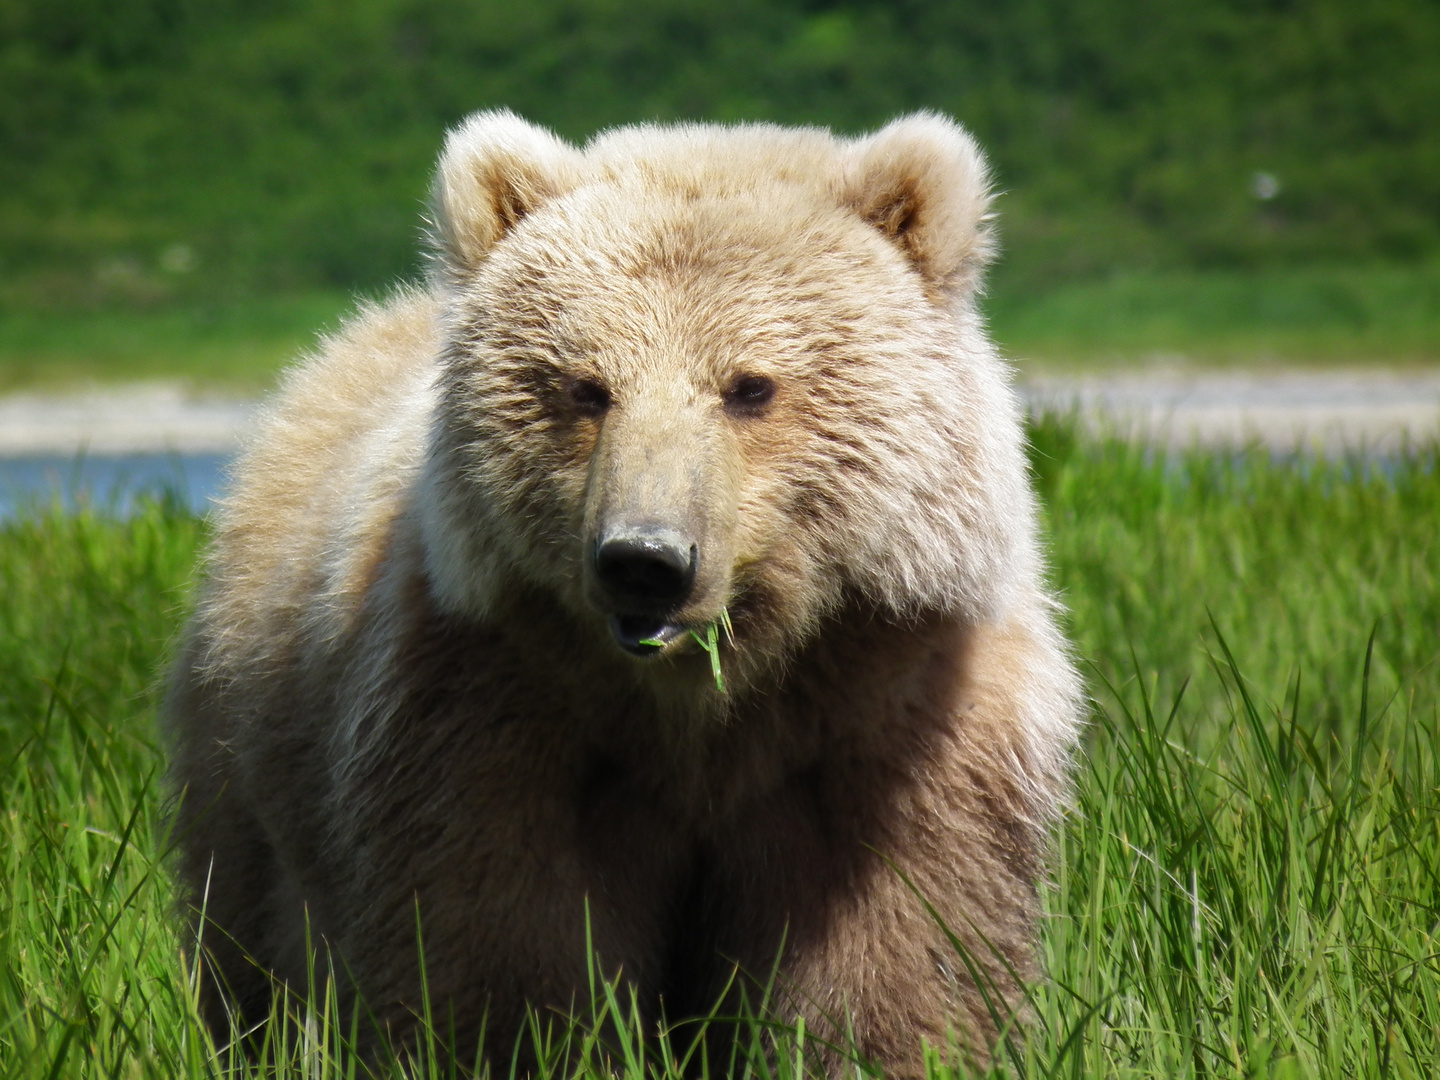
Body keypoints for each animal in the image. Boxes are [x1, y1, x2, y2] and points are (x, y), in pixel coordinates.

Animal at [165, 108, 1082, 1077]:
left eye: (749, 386)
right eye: (585, 387)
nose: (644, 558)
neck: (707, 688)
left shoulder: (891, 706)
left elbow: (903, 937)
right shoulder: (491, 700)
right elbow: (498, 938)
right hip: (249, 754)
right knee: (255, 934)